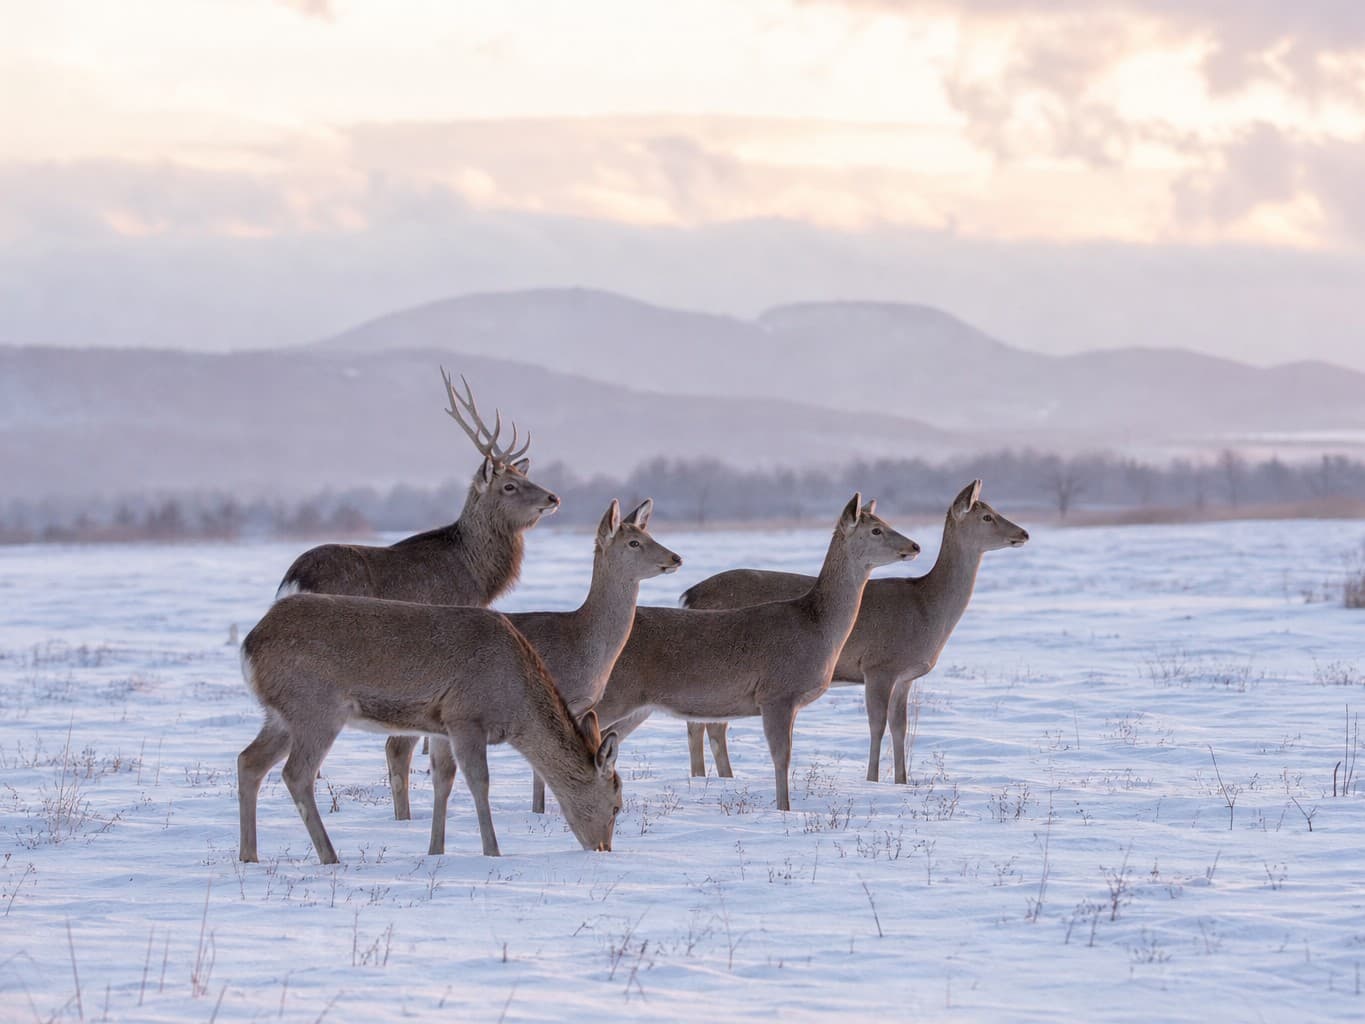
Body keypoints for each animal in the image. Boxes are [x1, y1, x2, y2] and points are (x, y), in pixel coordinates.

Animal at [237, 593, 623, 864]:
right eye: (617, 804)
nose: (603, 848)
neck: (515, 707)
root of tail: (249, 647)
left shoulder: (441, 727)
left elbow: (443, 782)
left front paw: (435, 849)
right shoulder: (466, 716)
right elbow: (479, 782)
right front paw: (493, 851)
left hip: (281, 716)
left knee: (248, 761)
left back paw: (249, 854)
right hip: (315, 708)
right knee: (296, 773)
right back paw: (329, 856)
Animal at [383, 498, 682, 823]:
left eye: (649, 534)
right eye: (634, 542)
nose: (676, 558)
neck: (585, 643)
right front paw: (543, 810)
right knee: (397, 747)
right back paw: (404, 819)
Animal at [591, 495, 920, 811]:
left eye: (884, 522)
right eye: (876, 530)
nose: (914, 546)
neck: (817, 626)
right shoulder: (777, 693)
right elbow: (781, 756)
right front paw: (784, 809)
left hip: (637, 706)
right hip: (613, 695)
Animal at [679, 480, 1028, 785]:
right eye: (987, 516)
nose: (1024, 533)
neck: (928, 608)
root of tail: (690, 595)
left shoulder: (906, 675)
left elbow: (900, 726)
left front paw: (903, 781)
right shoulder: (878, 665)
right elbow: (877, 724)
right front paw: (872, 779)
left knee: (704, 724)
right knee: (708, 726)